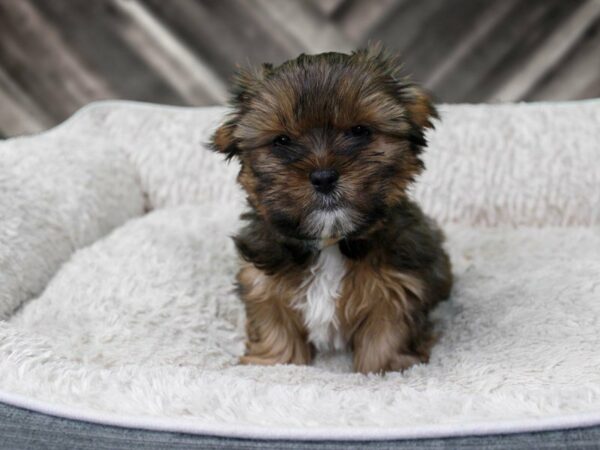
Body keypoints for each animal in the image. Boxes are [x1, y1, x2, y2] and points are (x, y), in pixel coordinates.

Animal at [211, 45, 450, 374]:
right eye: (282, 140)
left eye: (360, 131)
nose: (324, 177)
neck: (331, 242)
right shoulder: (262, 281)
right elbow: (275, 326)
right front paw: (274, 362)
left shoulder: (398, 286)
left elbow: (387, 334)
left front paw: (383, 369)